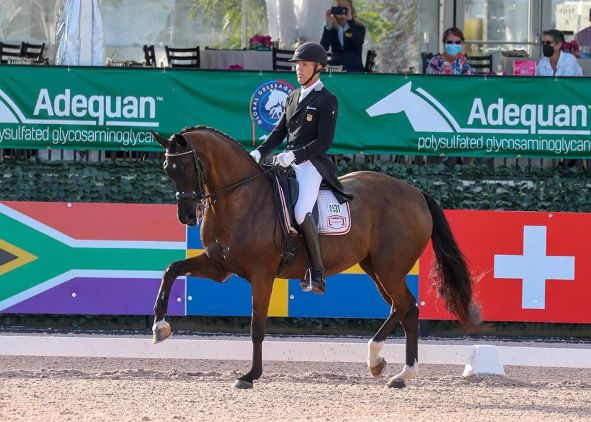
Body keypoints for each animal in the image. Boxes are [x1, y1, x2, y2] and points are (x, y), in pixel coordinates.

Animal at [149, 124, 480, 390]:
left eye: (187, 166)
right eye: (167, 169)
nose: (186, 216)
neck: (239, 198)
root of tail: (416, 193)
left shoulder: (261, 274)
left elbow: (257, 326)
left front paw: (250, 375)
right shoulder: (219, 266)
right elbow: (171, 269)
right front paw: (160, 327)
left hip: (390, 268)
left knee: (407, 306)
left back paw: (399, 372)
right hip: (376, 268)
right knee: (401, 308)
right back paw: (383, 365)